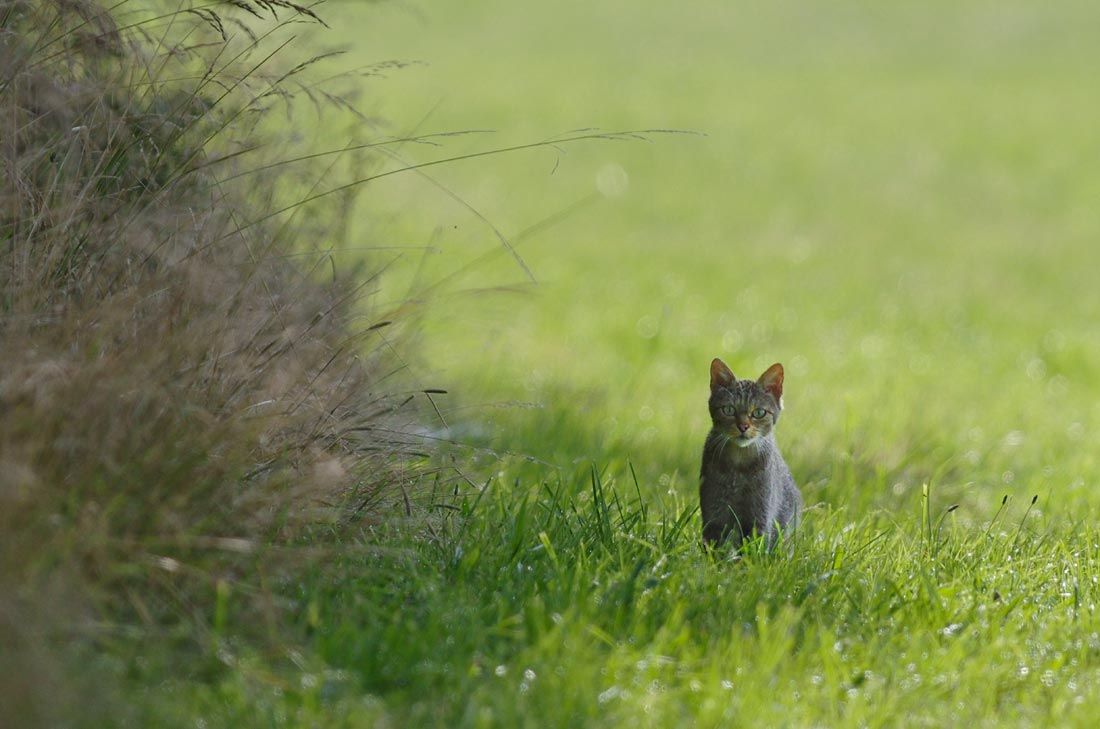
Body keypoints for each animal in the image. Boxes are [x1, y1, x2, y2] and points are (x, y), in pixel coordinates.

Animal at [699, 358, 805, 554]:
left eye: (759, 413)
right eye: (728, 409)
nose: (743, 426)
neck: (739, 464)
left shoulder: (759, 516)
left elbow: (753, 550)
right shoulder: (714, 514)